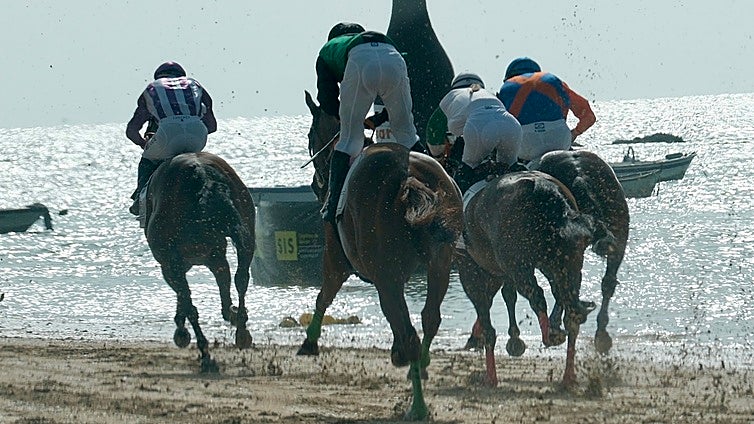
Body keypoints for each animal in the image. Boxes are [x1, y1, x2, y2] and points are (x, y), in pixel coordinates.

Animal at [144, 151, 255, 372]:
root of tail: (203, 175)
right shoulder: (213, 256)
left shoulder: (169, 264)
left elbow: (185, 298)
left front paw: (182, 331)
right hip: (246, 231)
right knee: (241, 278)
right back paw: (241, 328)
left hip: (173, 261)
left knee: (193, 305)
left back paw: (206, 353)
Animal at [300, 91, 463, 420]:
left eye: (311, 135)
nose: (315, 183)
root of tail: (409, 178)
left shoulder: (338, 258)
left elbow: (325, 294)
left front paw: (309, 340)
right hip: (439, 262)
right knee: (430, 318)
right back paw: (419, 367)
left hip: (388, 275)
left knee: (410, 333)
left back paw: (417, 404)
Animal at [456, 170, 615, 387]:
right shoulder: (501, 274)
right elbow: (507, 296)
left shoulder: (472, 272)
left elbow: (488, 315)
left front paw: (490, 373)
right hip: (567, 264)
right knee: (569, 309)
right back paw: (568, 373)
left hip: (521, 266)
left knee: (537, 296)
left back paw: (551, 336)